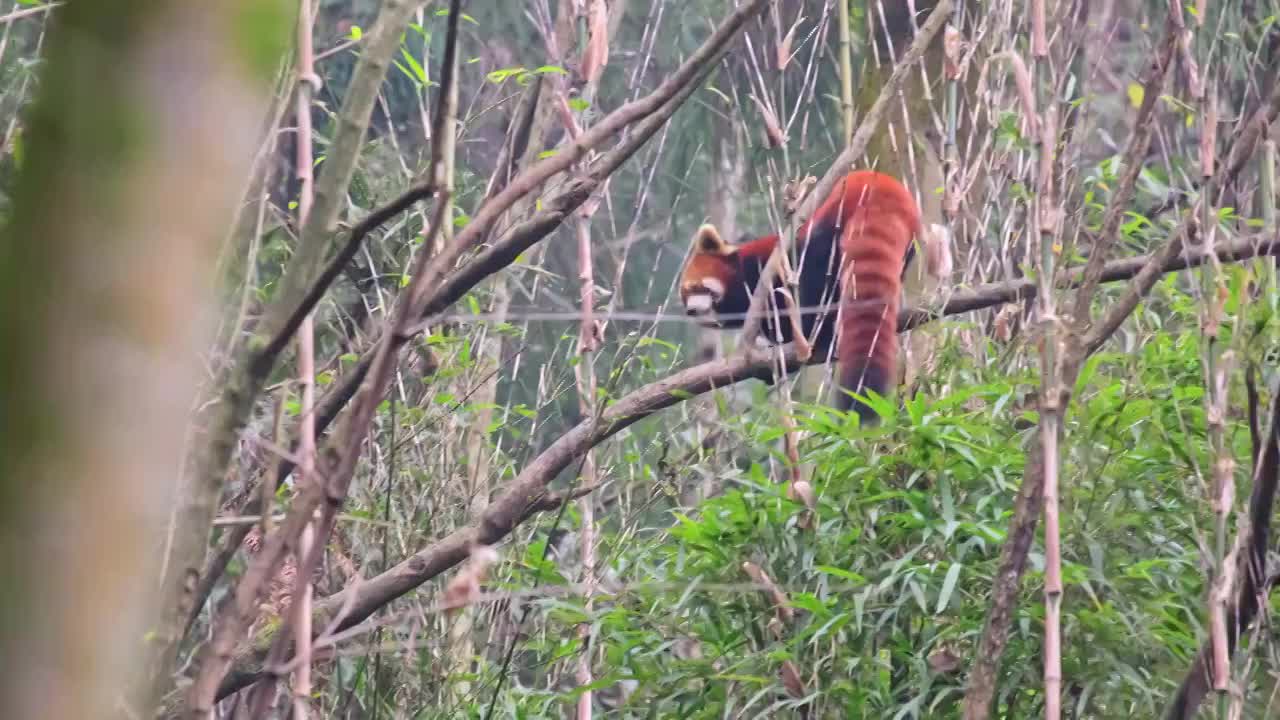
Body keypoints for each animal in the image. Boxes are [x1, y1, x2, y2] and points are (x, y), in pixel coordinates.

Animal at [680, 169, 921, 420]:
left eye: (700, 288)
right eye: (685, 295)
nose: (691, 310)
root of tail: (881, 187)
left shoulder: (769, 271)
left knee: (817, 268)